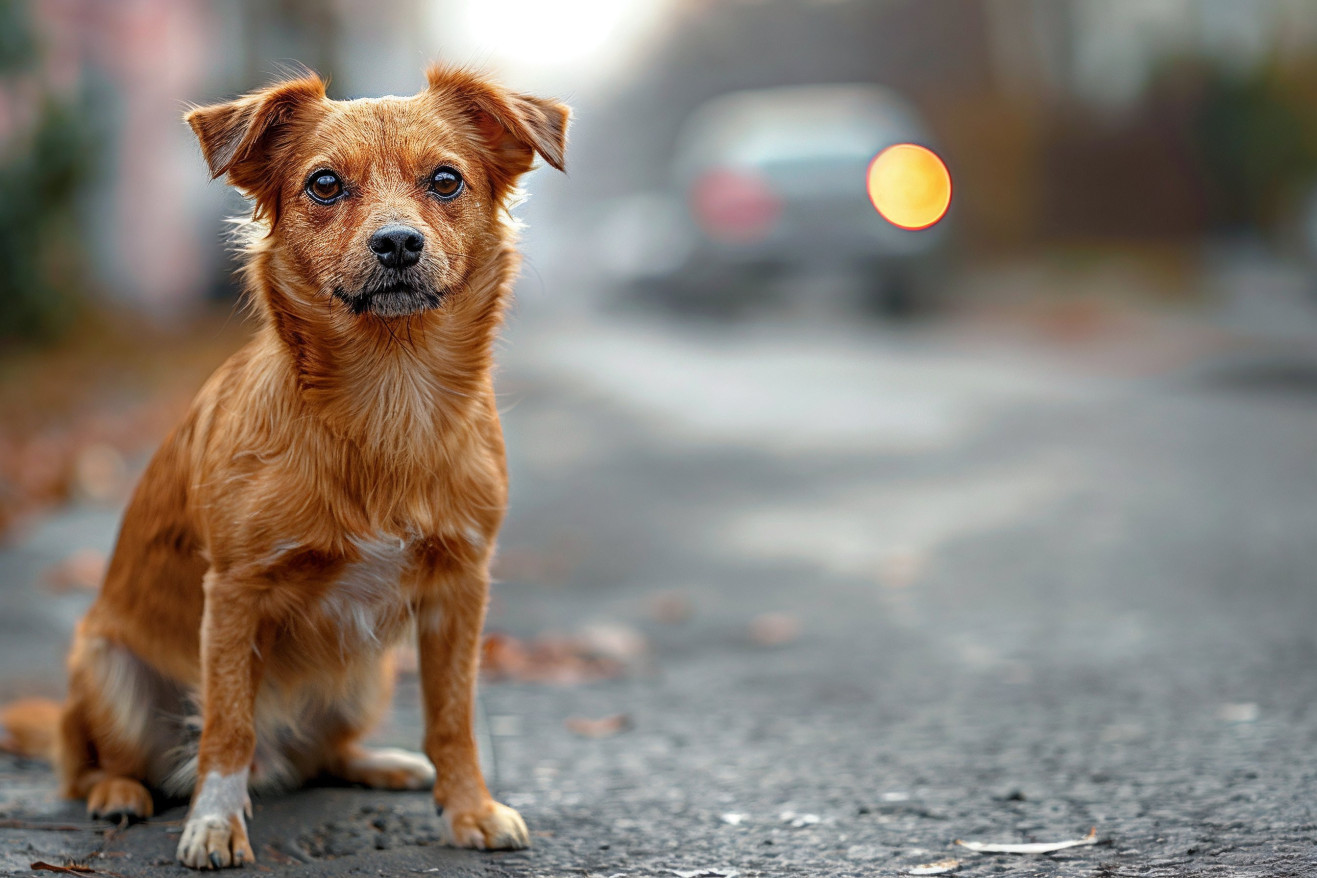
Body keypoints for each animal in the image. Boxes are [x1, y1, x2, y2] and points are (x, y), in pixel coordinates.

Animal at [1, 65, 566, 868]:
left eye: (446, 180)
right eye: (324, 184)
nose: (398, 243)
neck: (387, 399)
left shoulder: (460, 589)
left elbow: (453, 717)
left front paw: (469, 810)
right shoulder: (235, 594)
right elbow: (227, 725)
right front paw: (214, 824)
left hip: (366, 677)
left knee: (320, 756)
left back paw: (378, 763)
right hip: (107, 671)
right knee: (87, 764)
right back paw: (120, 793)